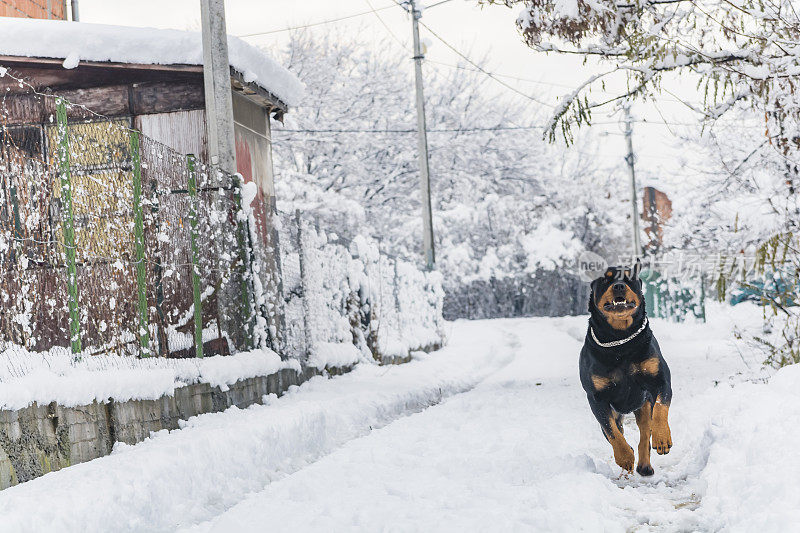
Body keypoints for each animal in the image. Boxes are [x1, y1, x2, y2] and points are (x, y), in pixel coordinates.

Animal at [580, 262, 672, 474]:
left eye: (629, 277)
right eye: (605, 279)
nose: (619, 286)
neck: (620, 341)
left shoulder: (660, 380)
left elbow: (661, 407)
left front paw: (663, 437)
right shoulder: (597, 398)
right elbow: (611, 430)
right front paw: (624, 456)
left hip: (644, 405)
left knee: (645, 432)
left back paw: (645, 466)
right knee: (616, 430)